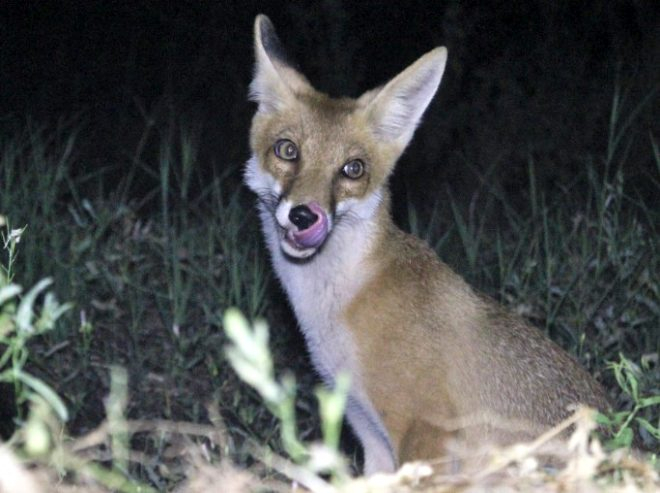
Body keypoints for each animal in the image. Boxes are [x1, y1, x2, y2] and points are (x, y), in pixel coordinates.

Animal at [245, 15, 612, 472]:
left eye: (352, 169)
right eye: (287, 150)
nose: (304, 215)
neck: (340, 307)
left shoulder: (427, 428)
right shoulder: (371, 435)